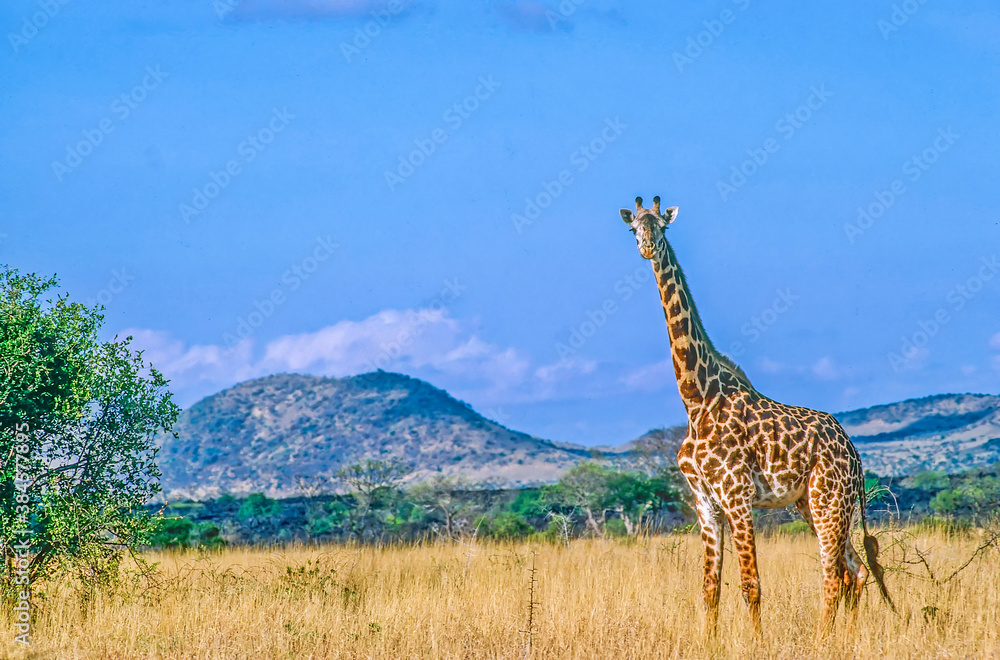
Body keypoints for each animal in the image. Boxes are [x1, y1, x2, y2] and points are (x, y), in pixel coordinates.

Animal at [619, 196, 893, 638]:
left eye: (662, 226)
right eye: (633, 228)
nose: (647, 248)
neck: (697, 400)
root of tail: (854, 453)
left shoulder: (737, 495)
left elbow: (751, 583)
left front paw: (757, 643)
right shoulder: (705, 501)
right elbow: (709, 587)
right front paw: (709, 643)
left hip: (829, 501)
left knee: (833, 572)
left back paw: (821, 640)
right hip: (815, 503)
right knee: (855, 569)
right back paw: (843, 638)